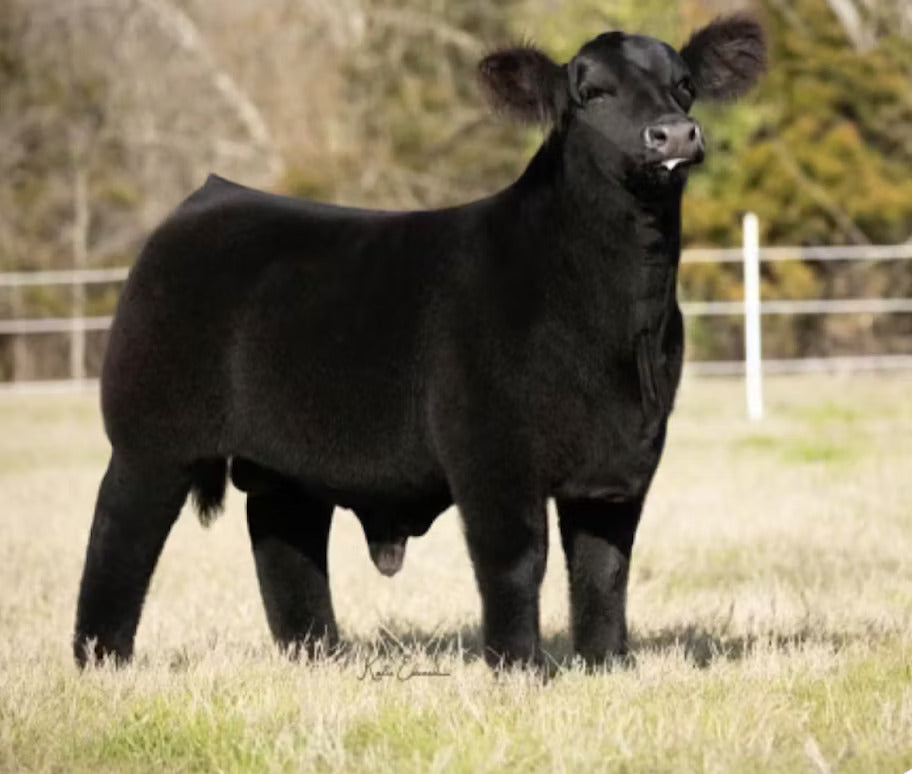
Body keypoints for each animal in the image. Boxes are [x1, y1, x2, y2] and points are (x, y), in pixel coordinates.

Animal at [74, 15, 765, 670]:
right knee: (120, 534)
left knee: (284, 538)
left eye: (685, 85)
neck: (618, 322)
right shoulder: (492, 454)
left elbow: (603, 569)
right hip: (149, 439)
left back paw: (316, 653)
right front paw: (519, 667)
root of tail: (210, 196)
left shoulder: (625, 458)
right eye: (592, 92)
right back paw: (102, 659)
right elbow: (516, 560)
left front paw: (608, 665)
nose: (673, 134)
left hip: (285, 459)